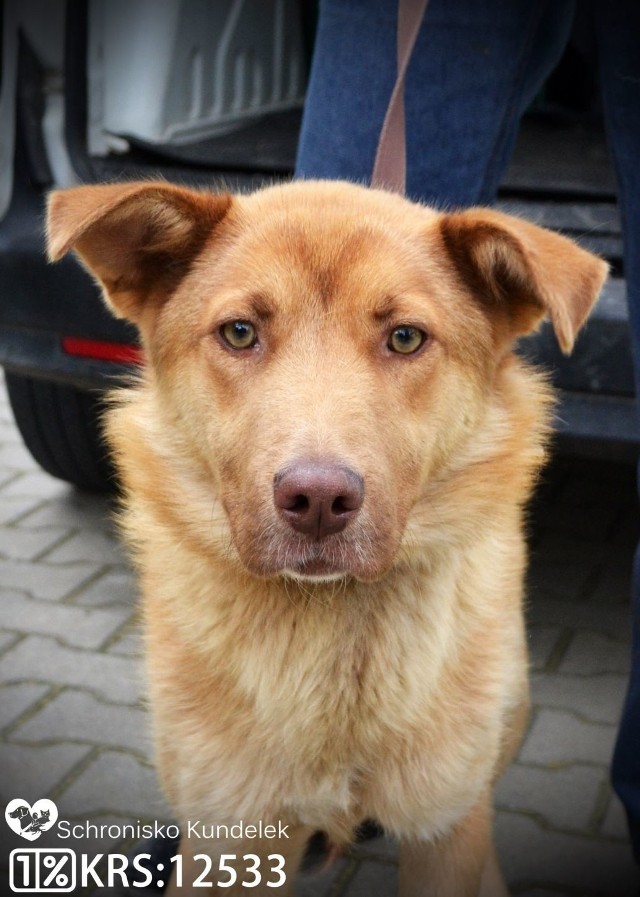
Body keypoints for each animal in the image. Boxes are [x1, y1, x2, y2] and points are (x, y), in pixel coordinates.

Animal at [47, 178, 608, 892]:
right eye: (239, 332)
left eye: (405, 338)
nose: (317, 501)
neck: (335, 647)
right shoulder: (229, 832)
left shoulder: (446, 825)